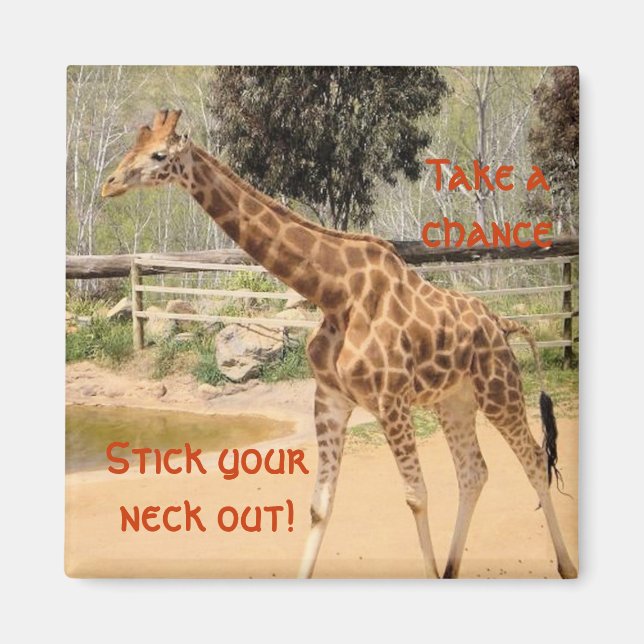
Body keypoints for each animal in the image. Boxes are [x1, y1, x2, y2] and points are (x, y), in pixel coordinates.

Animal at [102, 110, 577, 579]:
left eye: (158, 154)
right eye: (133, 146)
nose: (110, 183)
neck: (334, 293)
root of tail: (502, 322)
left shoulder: (390, 401)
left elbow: (416, 495)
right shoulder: (330, 397)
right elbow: (319, 505)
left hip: (499, 390)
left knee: (534, 459)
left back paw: (565, 565)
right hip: (454, 400)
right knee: (473, 472)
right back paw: (451, 569)